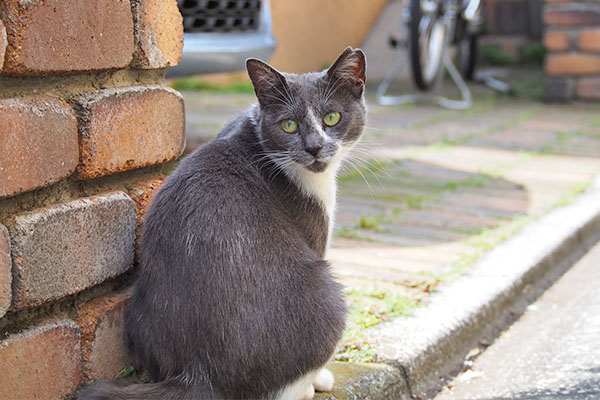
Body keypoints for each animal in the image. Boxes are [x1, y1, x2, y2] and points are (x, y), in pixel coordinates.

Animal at [77, 47, 368, 400]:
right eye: (288, 124)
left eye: (331, 118)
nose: (314, 147)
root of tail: (196, 375)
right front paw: (320, 379)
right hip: (325, 294)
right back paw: (311, 385)